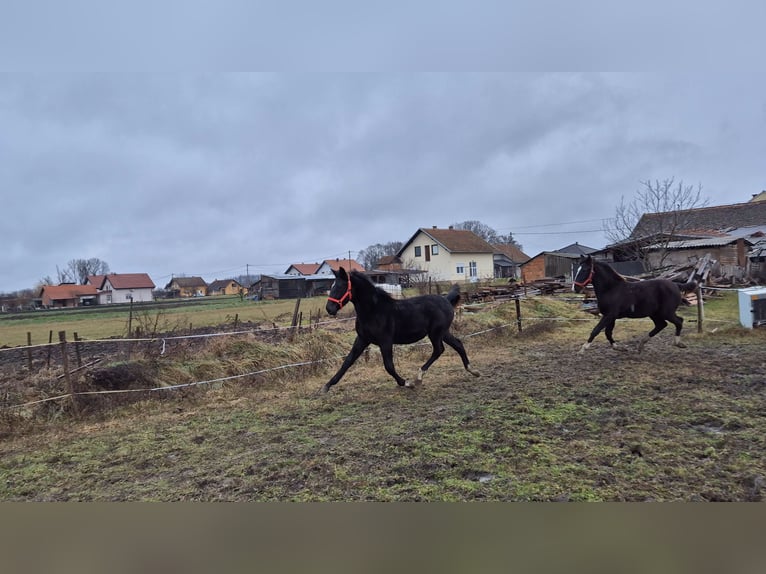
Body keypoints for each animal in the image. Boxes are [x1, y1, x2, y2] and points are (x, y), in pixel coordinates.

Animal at [322, 268, 480, 394]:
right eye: (332, 286)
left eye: (341, 287)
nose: (329, 309)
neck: (374, 311)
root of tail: (446, 300)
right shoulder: (362, 339)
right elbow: (347, 361)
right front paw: (327, 386)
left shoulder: (385, 341)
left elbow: (389, 366)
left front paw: (406, 383)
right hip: (443, 332)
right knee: (457, 344)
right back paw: (473, 371)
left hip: (436, 333)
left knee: (439, 350)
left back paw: (418, 377)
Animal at [572, 256, 700, 356]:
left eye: (585, 269)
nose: (575, 288)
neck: (611, 289)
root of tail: (676, 285)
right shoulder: (610, 316)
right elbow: (608, 332)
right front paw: (619, 348)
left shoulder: (609, 315)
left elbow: (596, 330)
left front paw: (582, 349)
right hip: (655, 314)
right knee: (661, 325)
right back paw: (641, 346)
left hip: (666, 312)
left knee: (679, 321)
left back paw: (678, 343)